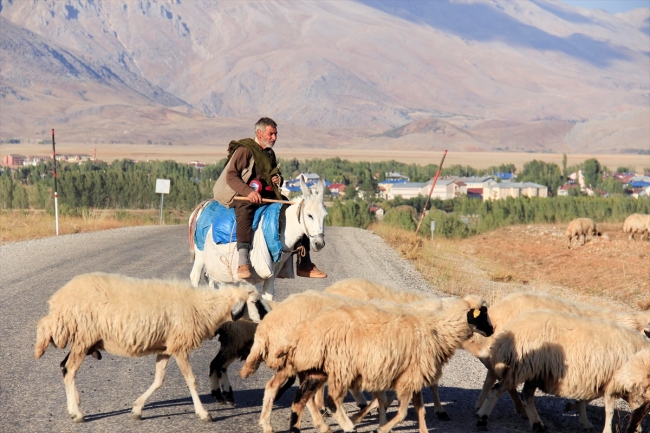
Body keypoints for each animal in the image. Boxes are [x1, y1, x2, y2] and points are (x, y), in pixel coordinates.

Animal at [34, 272, 268, 424]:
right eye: (256, 302)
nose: (268, 318)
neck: (204, 307)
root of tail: (57, 301)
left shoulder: (165, 348)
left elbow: (158, 381)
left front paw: (137, 409)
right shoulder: (179, 346)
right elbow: (191, 381)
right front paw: (203, 414)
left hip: (83, 340)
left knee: (64, 366)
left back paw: (73, 406)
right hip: (84, 336)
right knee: (70, 370)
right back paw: (77, 413)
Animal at [274, 294, 492, 432]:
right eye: (483, 313)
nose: (491, 331)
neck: (437, 330)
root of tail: (299, 333)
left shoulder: (411, 374)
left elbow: (418, 409)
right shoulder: (410, 377)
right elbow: (403, 412)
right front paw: (381, 428)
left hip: (318, 369)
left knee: (300, 399)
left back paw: (297, 429)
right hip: (341, 367)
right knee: (331, 401)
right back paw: (348, 427)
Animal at [474, 308, 644, 430]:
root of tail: (508, 335)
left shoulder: (600, 380)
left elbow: (588, 399)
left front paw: (581, 416)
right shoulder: (614, 383)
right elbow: (614, 410)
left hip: (534, 372)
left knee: (526, 396)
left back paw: (537, 424)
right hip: (522, 368)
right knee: (498, 390)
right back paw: (482, 417)